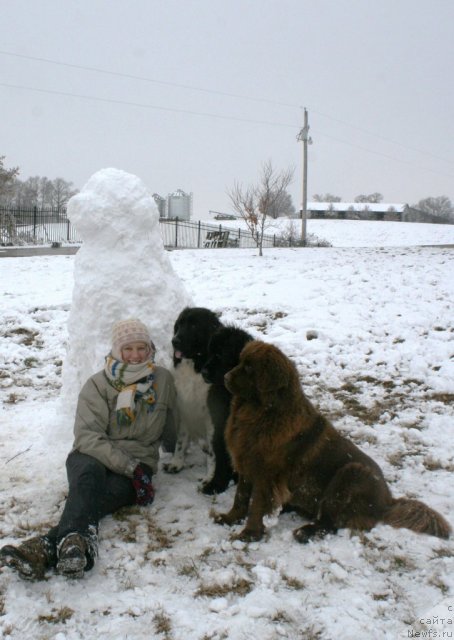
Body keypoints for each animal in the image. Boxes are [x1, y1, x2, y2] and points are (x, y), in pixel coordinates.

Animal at [165, 308, 225, 492]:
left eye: (193, 326)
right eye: (179, 324)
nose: (174, 341)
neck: (195, 366)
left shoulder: (211, 417)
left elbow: (214, 452)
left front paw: (210, 478)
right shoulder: (184, 409)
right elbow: (180, 440)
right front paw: (176, 463)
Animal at [200, 324, 254, 496]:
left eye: (221, 354)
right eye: (210, 352)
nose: (203, 372)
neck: (229, 394)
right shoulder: (220, 429)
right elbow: (221, 457)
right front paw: (216, 484)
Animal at [213, 338, 450, 544]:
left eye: (249, 368)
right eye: (241, 362)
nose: (225, 377)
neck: (262, 414)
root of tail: (388, 499)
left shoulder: (266, 473)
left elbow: (257, 506)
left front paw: (248, 534)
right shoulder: (246, 463)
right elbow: (241, 496)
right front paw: (229, 518)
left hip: (350, 473)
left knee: (332, 523)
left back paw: (304, 532)